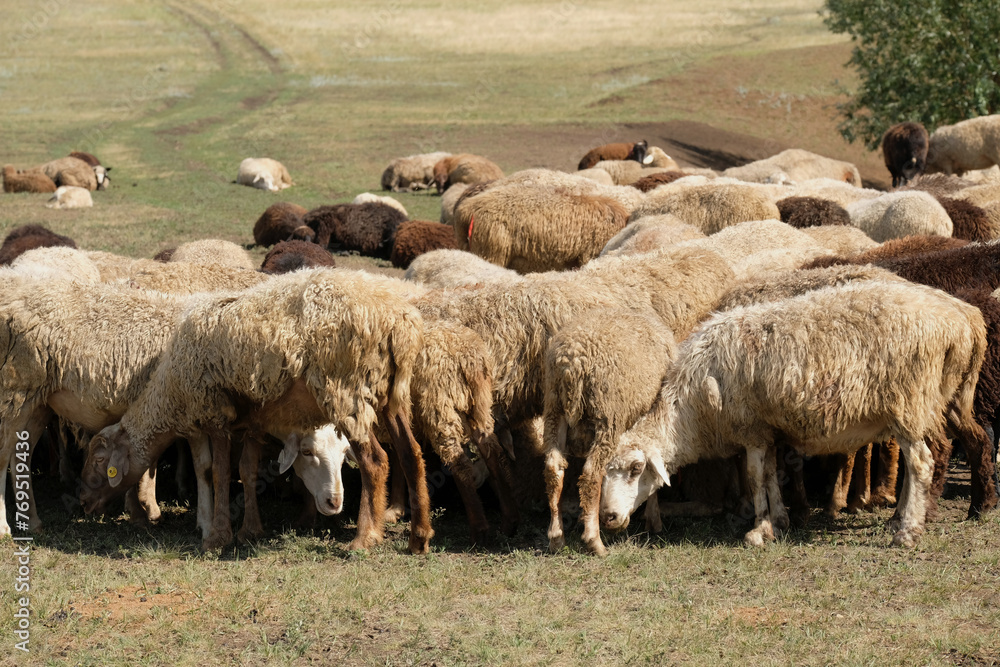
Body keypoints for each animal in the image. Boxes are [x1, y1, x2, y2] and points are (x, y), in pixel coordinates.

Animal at [79, 269, 433, 553]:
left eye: (99, 460)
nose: (82, 501)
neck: (170, 391)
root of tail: (399, 321)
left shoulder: (215, 413)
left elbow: (219, 473)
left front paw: (217, 537)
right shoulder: (247, 421)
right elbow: (240, 470)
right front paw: (245, 531)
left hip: (347, 392)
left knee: (375, 461)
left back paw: (365, 538)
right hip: (389, 397)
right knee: (411, 454)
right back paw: (419, 537)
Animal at [543, 309, 678, 555]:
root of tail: (572, 361)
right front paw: (653, 520)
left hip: (553, 408)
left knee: (553, 469)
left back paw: (556, 538)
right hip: (607, 415)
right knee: (591, 474)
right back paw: (594, 541)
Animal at [600, 281, 988, 547]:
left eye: (636, 469)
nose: (608, 517)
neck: (691, 411)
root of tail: (963, 318)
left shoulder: (752, 428)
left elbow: (755, 477)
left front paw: (759, 530)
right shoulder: (769, 431)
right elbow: (771, 474)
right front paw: (780, 521)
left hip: (910, 402)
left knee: (921, 462)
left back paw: (906, 533)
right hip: (942, 398)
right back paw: (900, 520)